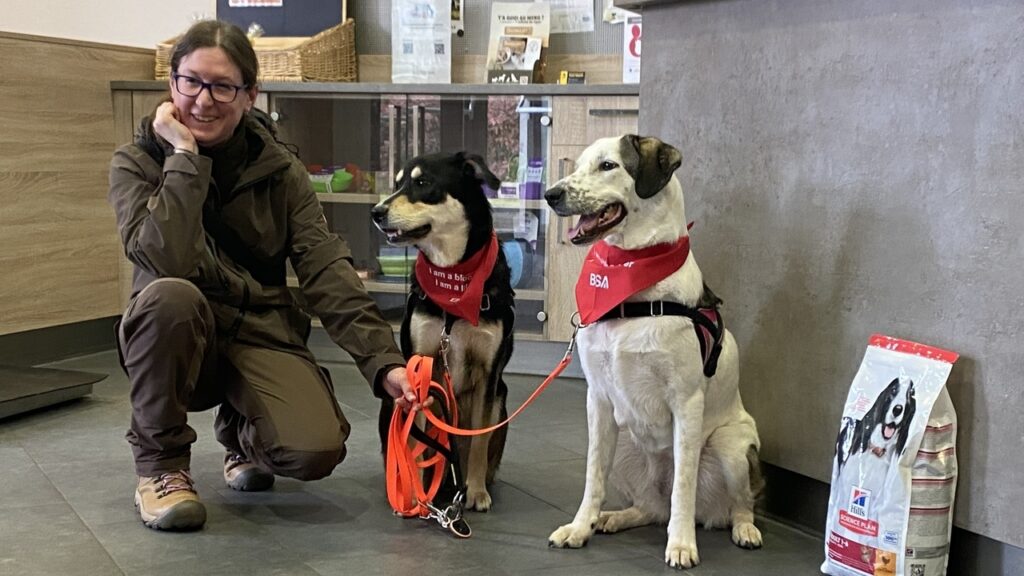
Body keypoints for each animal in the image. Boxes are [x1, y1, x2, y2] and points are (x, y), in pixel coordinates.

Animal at [368, 150, 516, 508]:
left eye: (423, 183)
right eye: (397, 183)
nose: (376, 212)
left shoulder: (489, 374)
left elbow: (478, 442)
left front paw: (475, 492)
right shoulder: (420, 367)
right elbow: (414, 441)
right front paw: (416, 493)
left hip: (501, 398)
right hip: (391, 399)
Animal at [544, 135, 761, 569]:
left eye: (608, 166)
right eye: (577, 165)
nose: (550, 195)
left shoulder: (687, 402)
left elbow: (683, 486)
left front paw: (681, 545)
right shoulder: (598, 400)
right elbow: (593, 474)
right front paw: (580, 527)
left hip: (731, 446)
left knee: (737, 504)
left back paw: (744, 529)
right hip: (627, 439)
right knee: (652, 507)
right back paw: (614, 518)